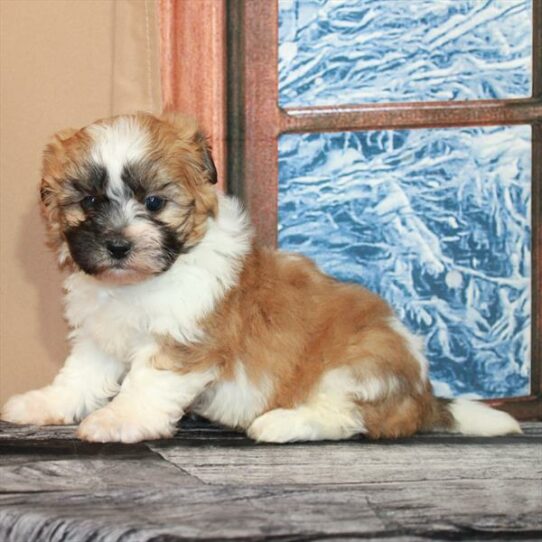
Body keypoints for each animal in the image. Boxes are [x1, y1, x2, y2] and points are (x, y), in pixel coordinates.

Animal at [2, 112, 524, 444]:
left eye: (154, 202)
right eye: (90, 201)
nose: (117, 245)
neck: (141, 283)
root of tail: (423, 395)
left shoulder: (185, 340)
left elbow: (147, 383)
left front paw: (118, 420)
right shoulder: (99, 335)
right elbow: (80, 376)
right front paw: (43, 404)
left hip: (360, 360)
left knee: (347, 416)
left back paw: (281, 425)